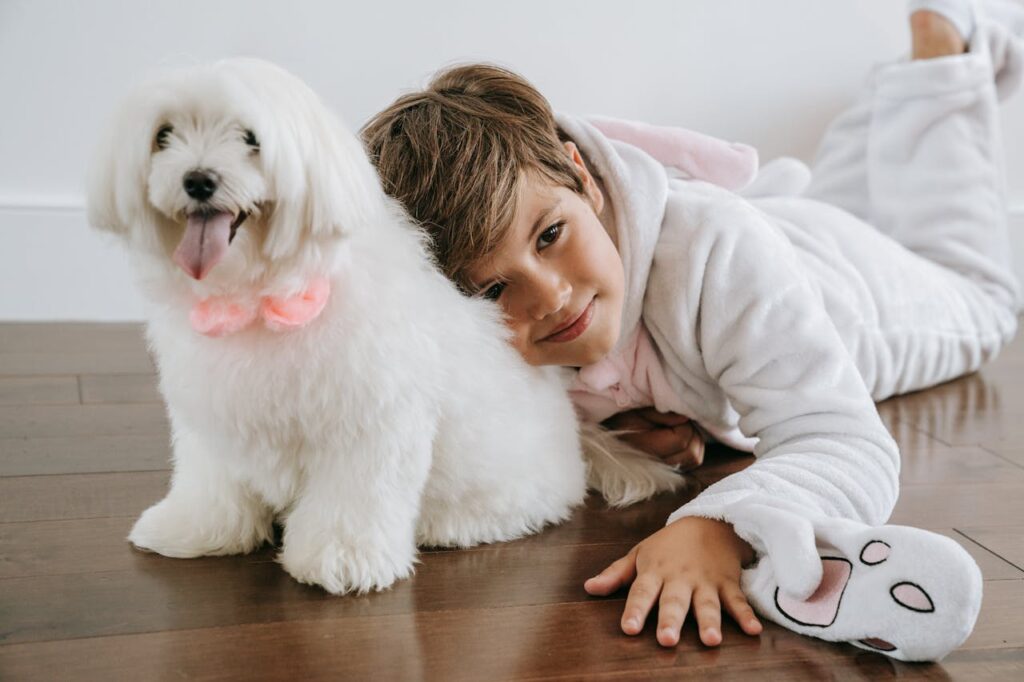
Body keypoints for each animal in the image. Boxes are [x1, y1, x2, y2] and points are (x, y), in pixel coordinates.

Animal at [88, 57, 679, 589]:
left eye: (250, 138)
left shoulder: (369, 425)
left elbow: (353, 502)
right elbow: (210, 485)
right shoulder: (210, 416)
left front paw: (342, 561)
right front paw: (193, 530)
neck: (257, 298)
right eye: (164, 135)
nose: (198, 180)